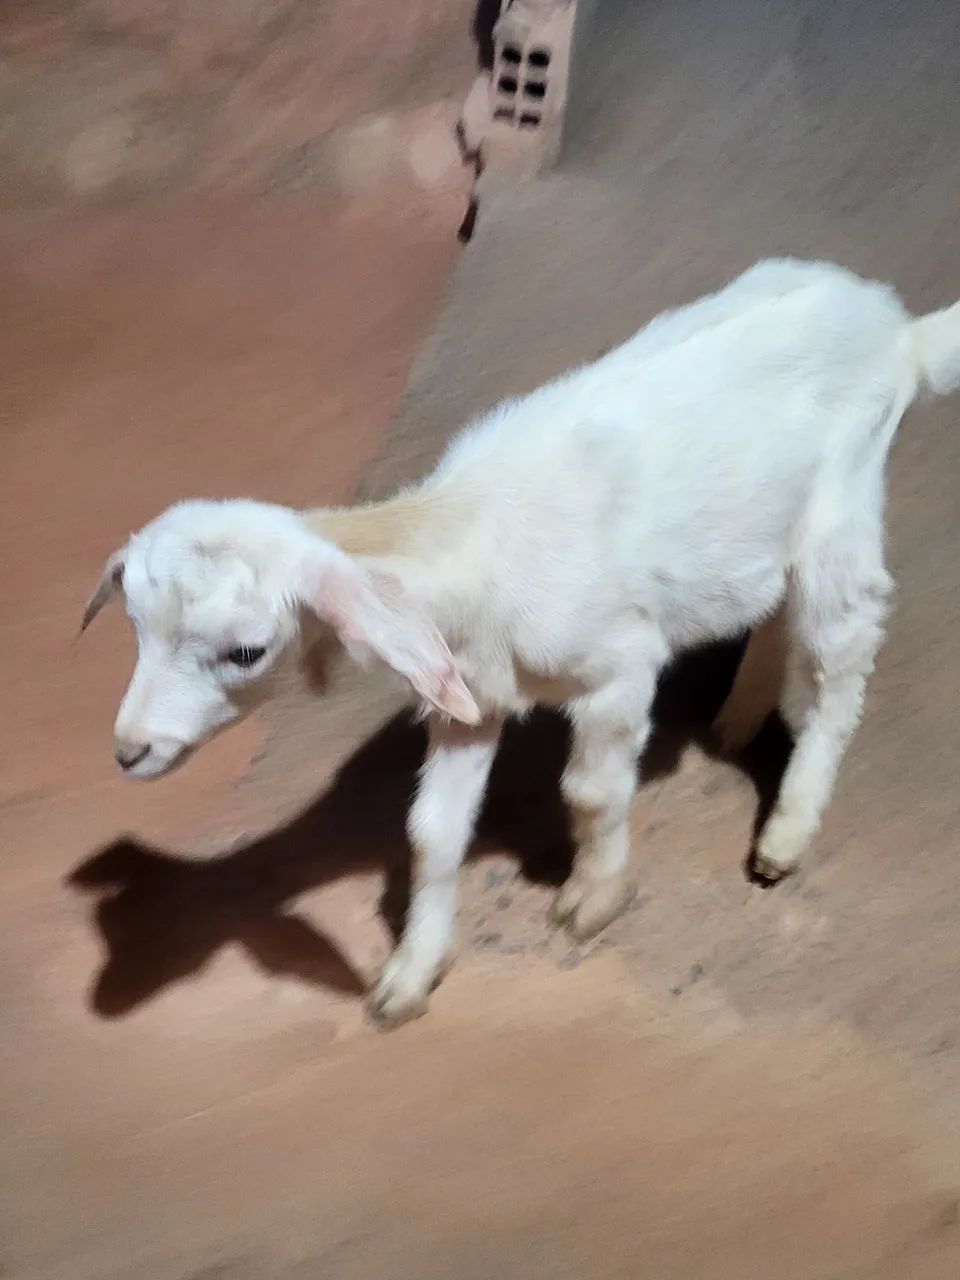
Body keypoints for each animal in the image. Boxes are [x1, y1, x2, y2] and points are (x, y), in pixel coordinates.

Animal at [83, 259, 960, 1026]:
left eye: (246, 652)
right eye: (135, 626)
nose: (128, 751)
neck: (468, 534)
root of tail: (896, 324)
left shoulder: (619, 669)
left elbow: (592, 792)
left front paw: (592, 898)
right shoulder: (466, 701)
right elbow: (430, 834)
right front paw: (411, 973)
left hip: (844, 515)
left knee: (842, 661)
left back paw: (787, 831)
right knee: (774, 611)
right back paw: (736, 721)